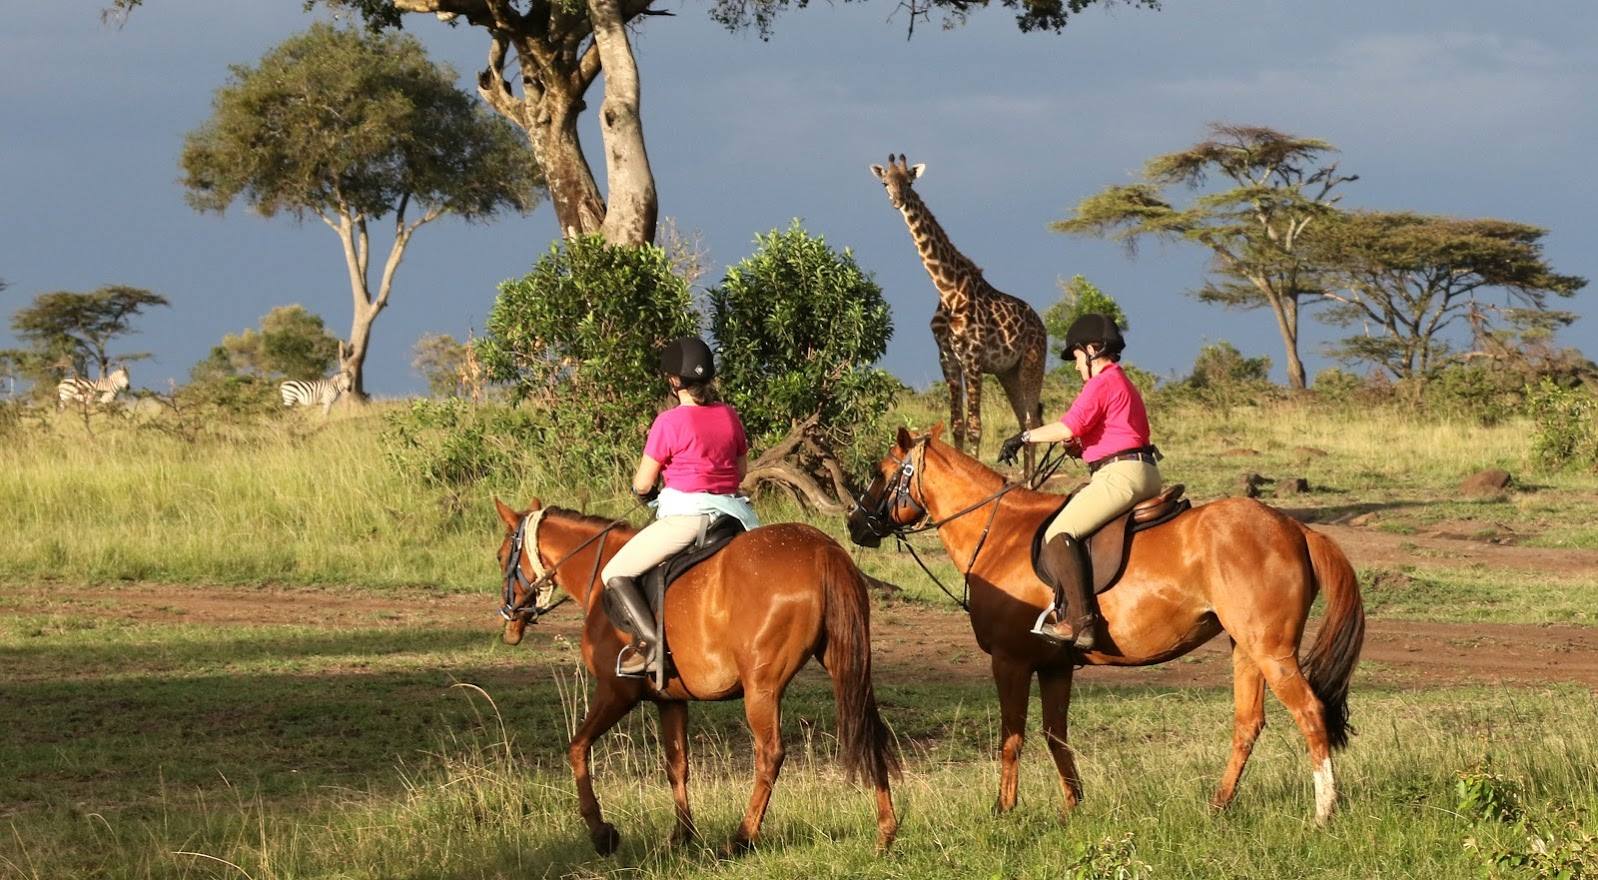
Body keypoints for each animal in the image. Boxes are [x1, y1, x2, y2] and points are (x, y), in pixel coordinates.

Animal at [493, 497, 899, 855]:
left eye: (500, 557)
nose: (510, 622)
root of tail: (822, 549)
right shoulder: (671, 701)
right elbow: (677, 765)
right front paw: (681, 836)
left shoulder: (615, 692)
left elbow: (577, 748)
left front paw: (601, 832)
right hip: (845, 664)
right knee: (870, 732)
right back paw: (885, 833)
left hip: (761, 689)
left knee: (770, 754)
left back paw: (741, 838)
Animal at [846, 426, 1364, 824]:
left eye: (880, 472)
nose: (855, 525)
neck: (999, 532)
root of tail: (1295, 528)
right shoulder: (1055, 666)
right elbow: (1055, 734)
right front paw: (1073, 806)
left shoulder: (1010, 661)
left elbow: (1012, 737)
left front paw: (1003, 809)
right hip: (1246, 648)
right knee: (1248, 724)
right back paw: (1218, 804)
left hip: (1272, 650)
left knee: (1310, 713)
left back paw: (1324, 812)